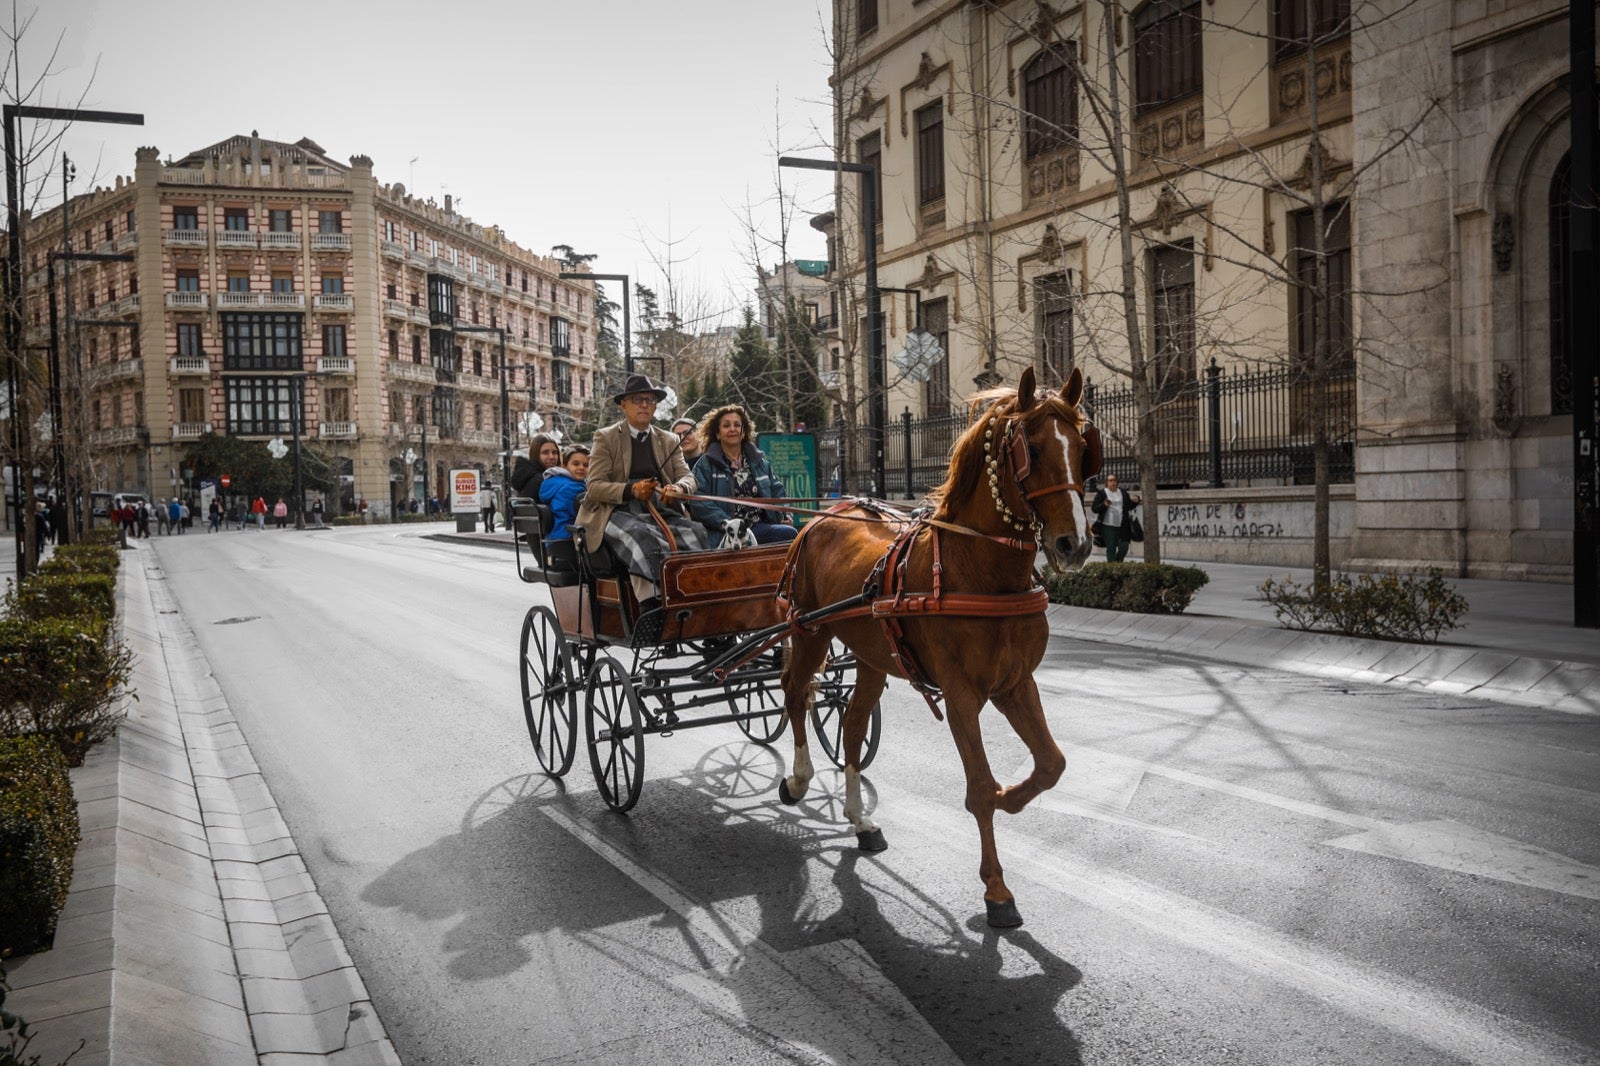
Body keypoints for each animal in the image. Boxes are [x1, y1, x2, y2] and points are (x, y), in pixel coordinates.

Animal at [777, 363, 1100, 921]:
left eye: (1082, 448)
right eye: (1033, 450)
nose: (1074, 544)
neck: (979, 568)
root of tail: (820, 515)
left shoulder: (1015, 684)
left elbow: (1051, 764)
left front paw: (1012, 797)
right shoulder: (962, 695)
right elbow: (978, 788)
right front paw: (997, 889)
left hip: (870, 656)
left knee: (852, 726)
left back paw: (860, 818)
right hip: (810, 630)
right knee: (798, 695)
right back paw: (798, 779)